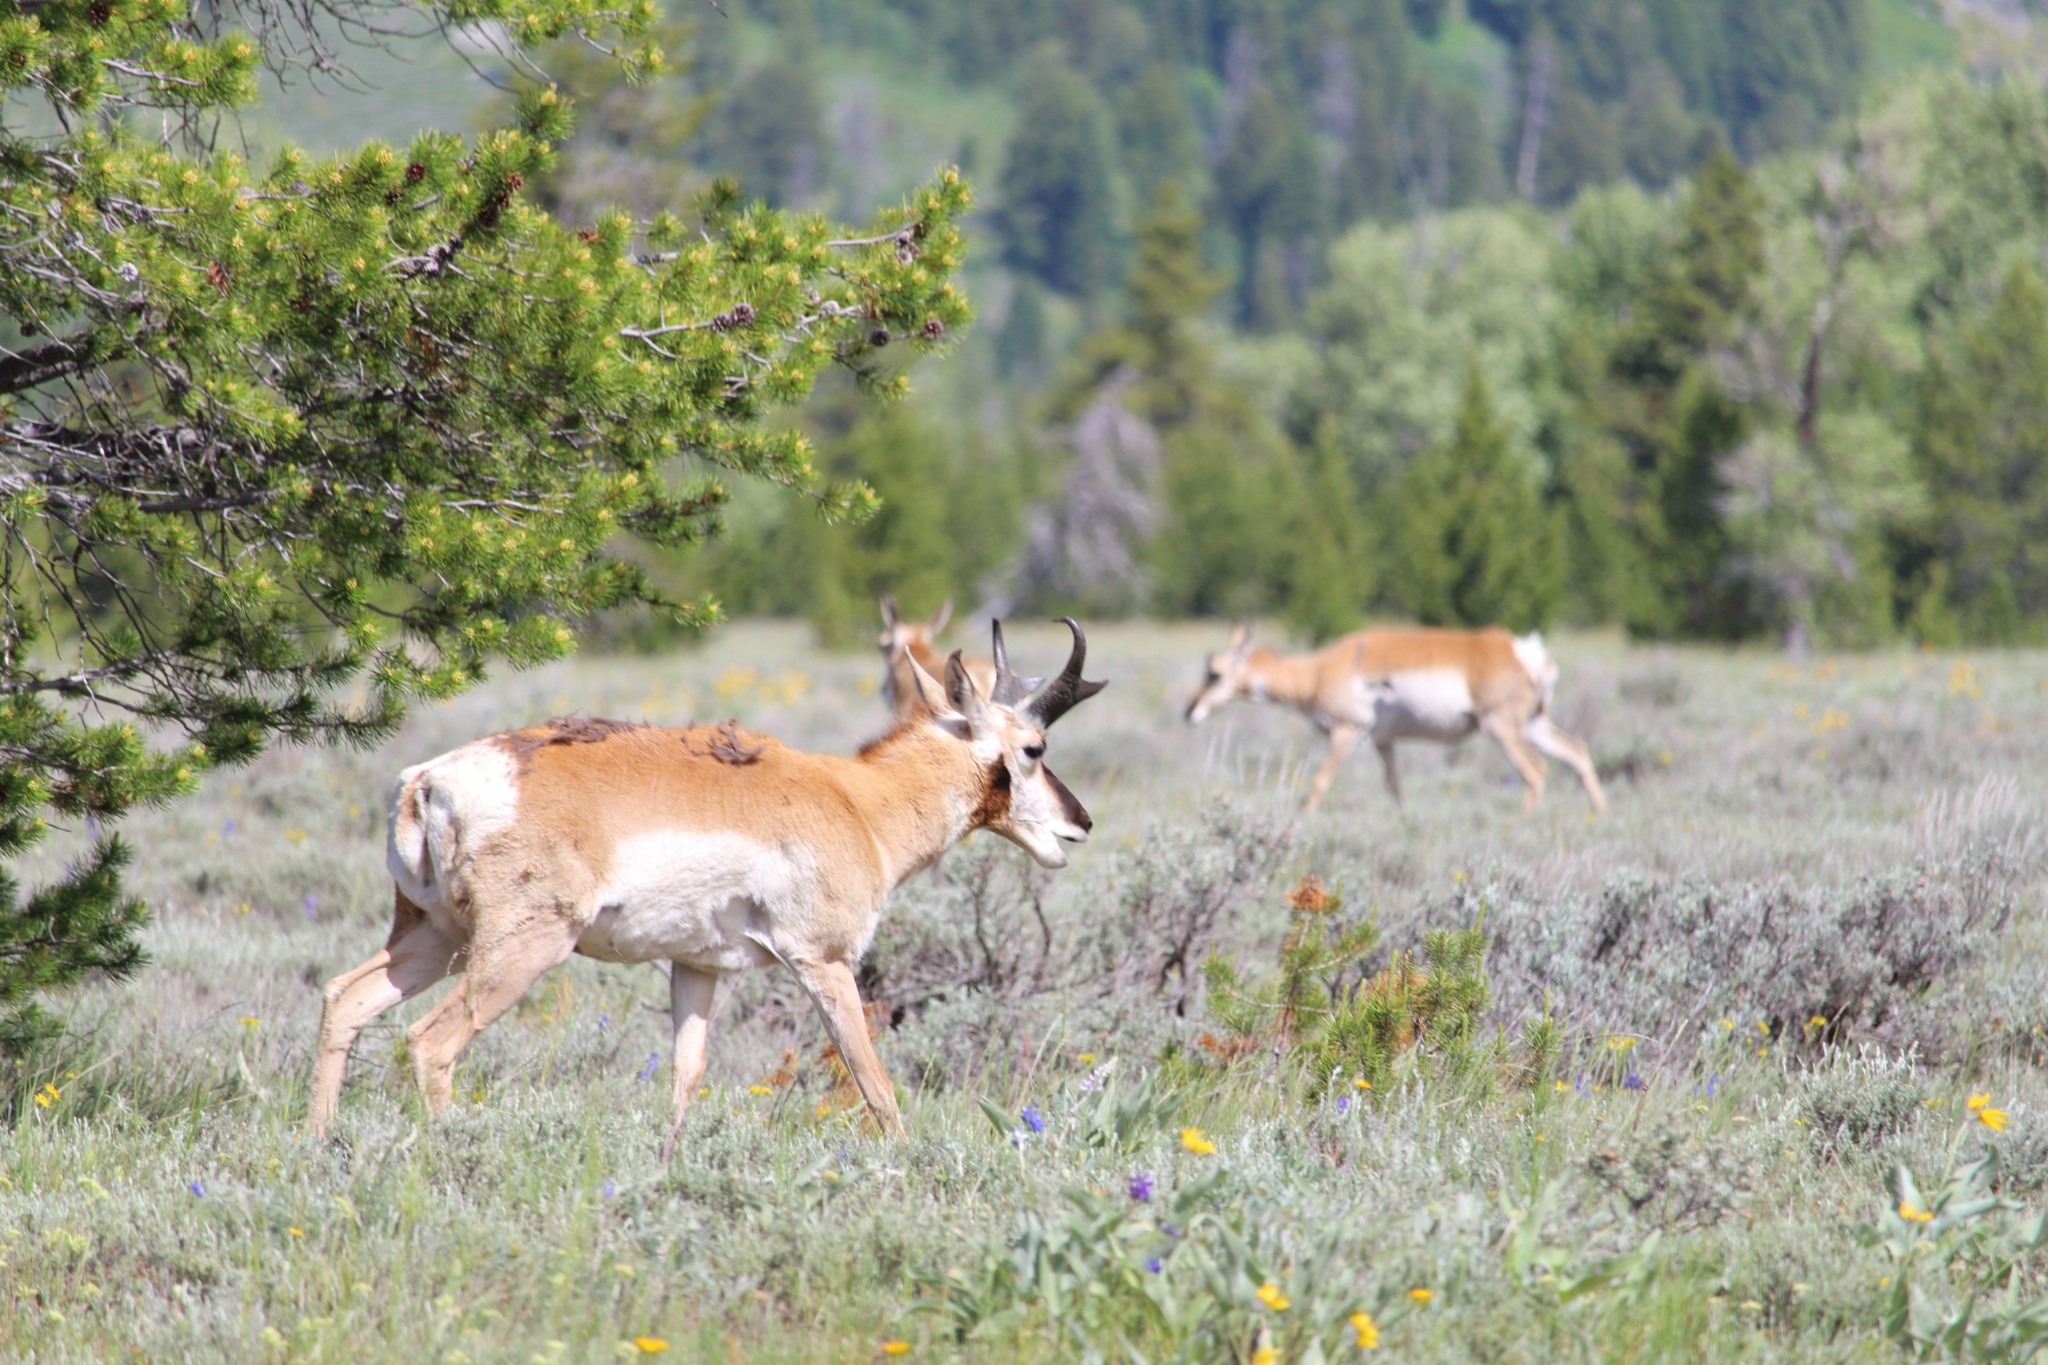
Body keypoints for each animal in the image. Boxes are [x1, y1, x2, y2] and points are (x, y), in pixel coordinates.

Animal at [311, 626, 1105, 1146]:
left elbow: (685, 1077)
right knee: (430, 1041)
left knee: (345, 998)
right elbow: (874, 1081)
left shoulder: (696, 968)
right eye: (1034, 748)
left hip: (436, 939)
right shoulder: (825, 962)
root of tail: (428, 779)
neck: (855, 799)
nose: (1083, 823)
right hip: (519, 950)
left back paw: (317, 1144)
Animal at [1187, 626, 1613, 818]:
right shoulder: (1384, 742)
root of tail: (1523, 649)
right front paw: (1403, 819)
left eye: (1213, 673)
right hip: (1532, 726)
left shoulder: (1346, 733)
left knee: (1535, 771)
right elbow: (1394, 786)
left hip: (1502, 728)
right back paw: (1601, 817)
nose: (1189, 712)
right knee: (1577, 752)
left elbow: (1319, 781)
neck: (1319, 670)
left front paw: (1300, 819)